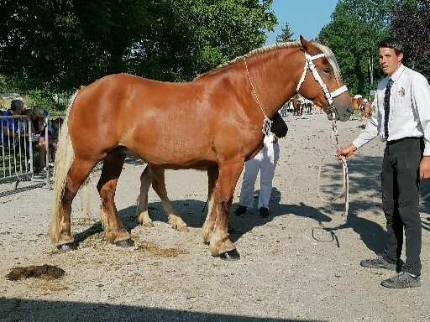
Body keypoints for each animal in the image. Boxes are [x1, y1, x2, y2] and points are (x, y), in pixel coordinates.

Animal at [51, 37, 352, 260]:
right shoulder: (232, 162)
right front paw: (224, 245)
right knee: (68, 191)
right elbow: (225, 199)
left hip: (115, 156)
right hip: (88, 158)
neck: (241, 95)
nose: (347, 108)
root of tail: (84, 90)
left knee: (106, 190)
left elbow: (214, 198)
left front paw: (209, 235)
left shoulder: (217, 165)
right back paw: (65, 240)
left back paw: (120, 236)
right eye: (325, 68)